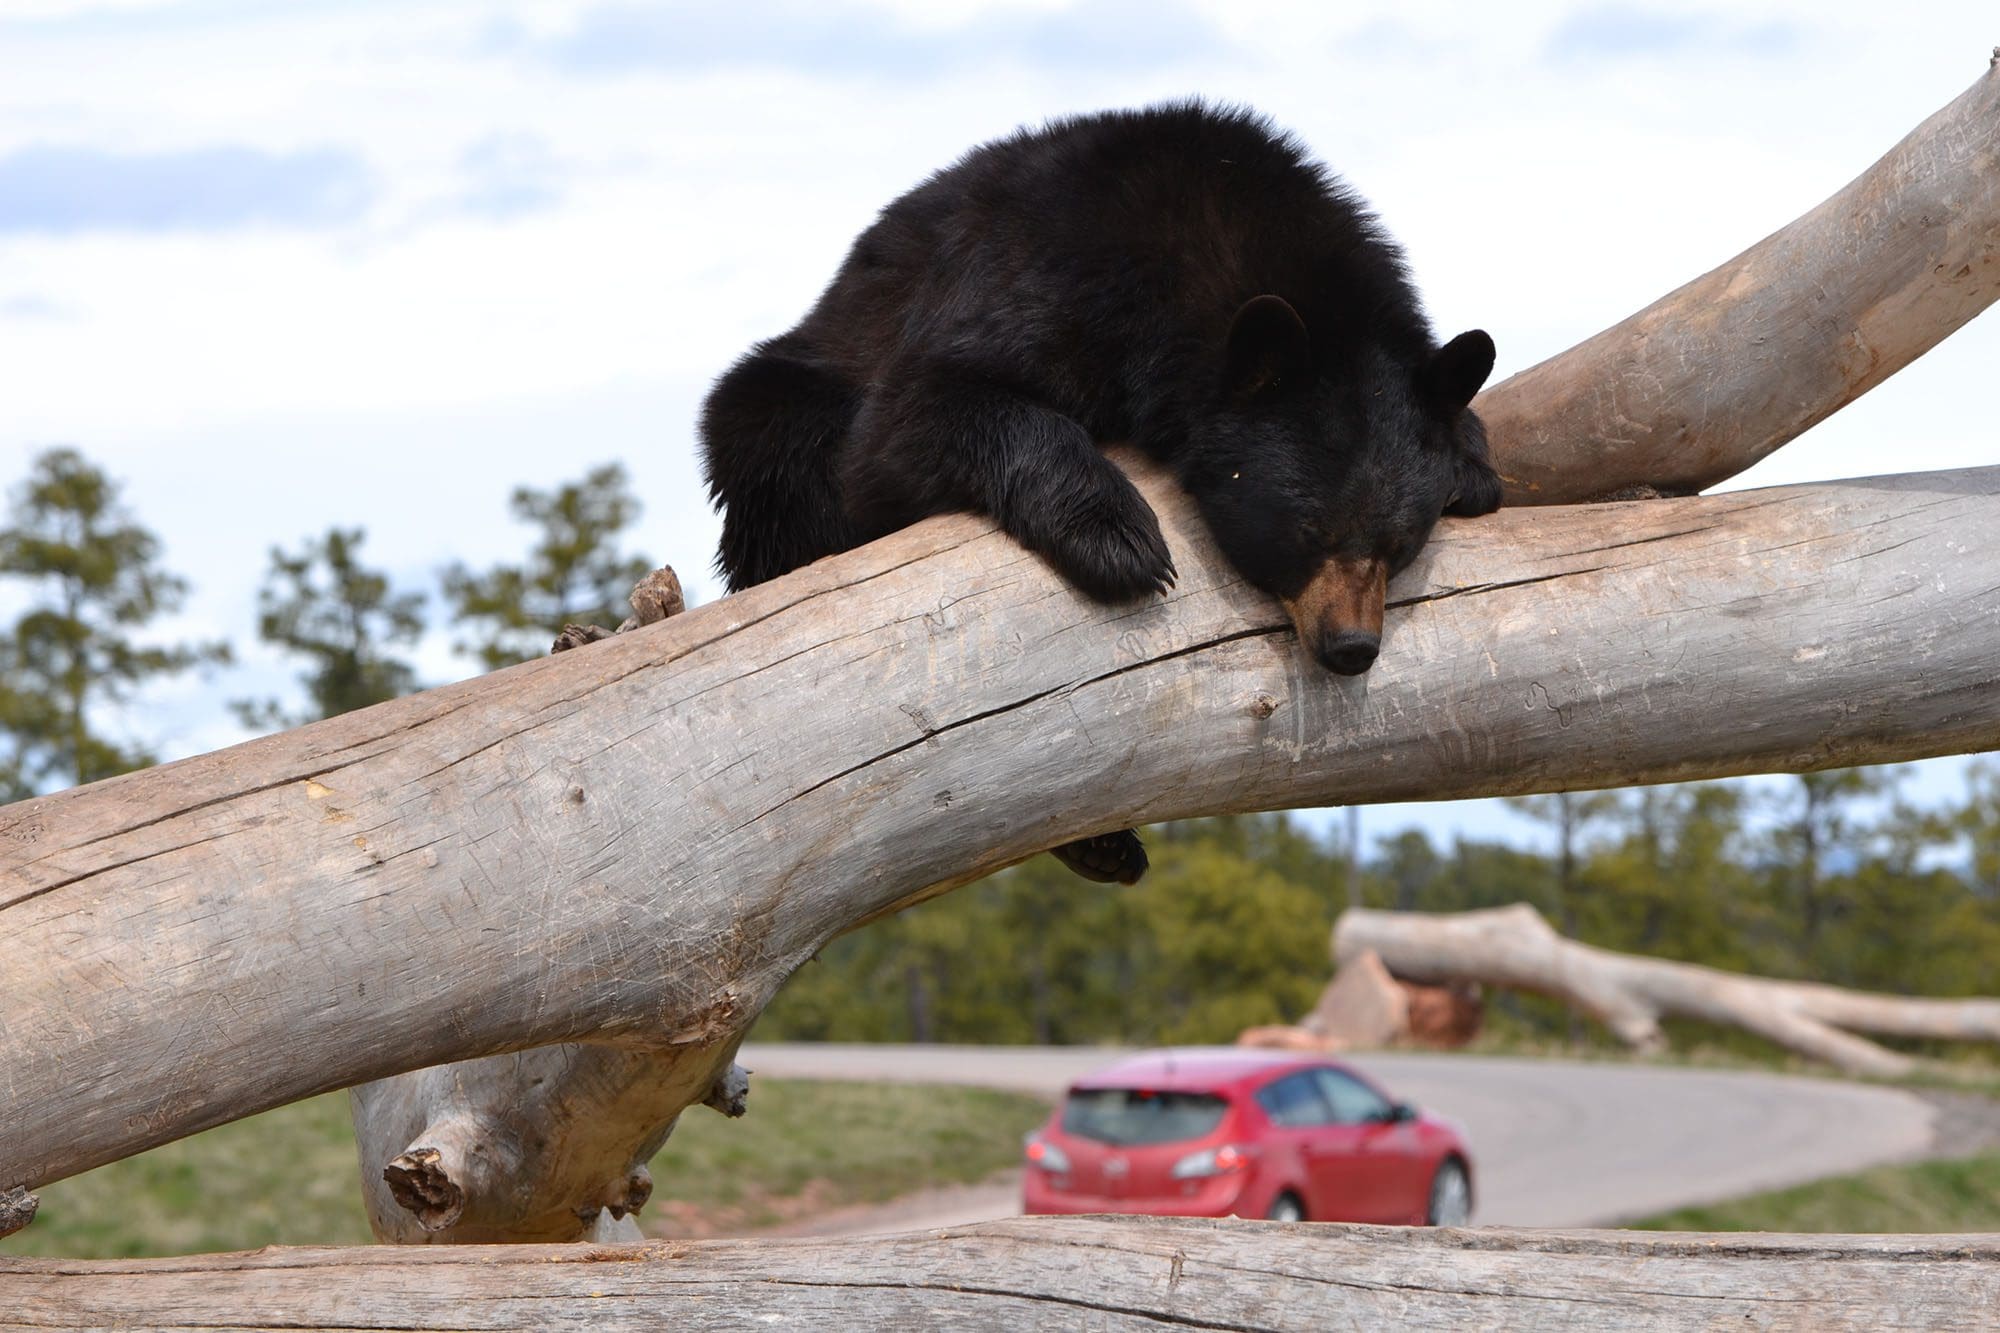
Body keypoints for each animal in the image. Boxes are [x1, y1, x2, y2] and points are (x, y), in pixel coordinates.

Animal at [704, 101, 1504, 880]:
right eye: (1306, 531)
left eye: (1400, 543)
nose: (1351, 647)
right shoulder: (1040, 274)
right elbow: (908, 419)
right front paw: (1119, 539)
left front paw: (1473, 462)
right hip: (778, 410)